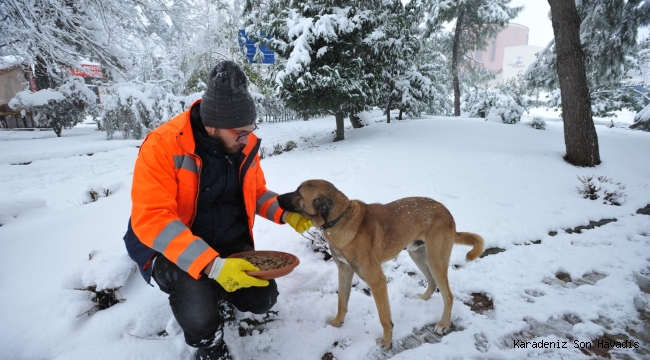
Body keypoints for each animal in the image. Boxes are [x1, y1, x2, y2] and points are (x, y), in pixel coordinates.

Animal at [276, 180, 484, 348]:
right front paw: (336, 324)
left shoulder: (377, 281)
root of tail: (447, 213)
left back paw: (443, 325)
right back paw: (423, 298)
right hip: (417, 254)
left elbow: (384, 318)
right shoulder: (344, 271)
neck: (340, 218)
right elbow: (341, 302)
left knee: (448, 295)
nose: (277, 198)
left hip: (435, 260)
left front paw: (386, 342)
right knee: (432, 283)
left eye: (298, 193)